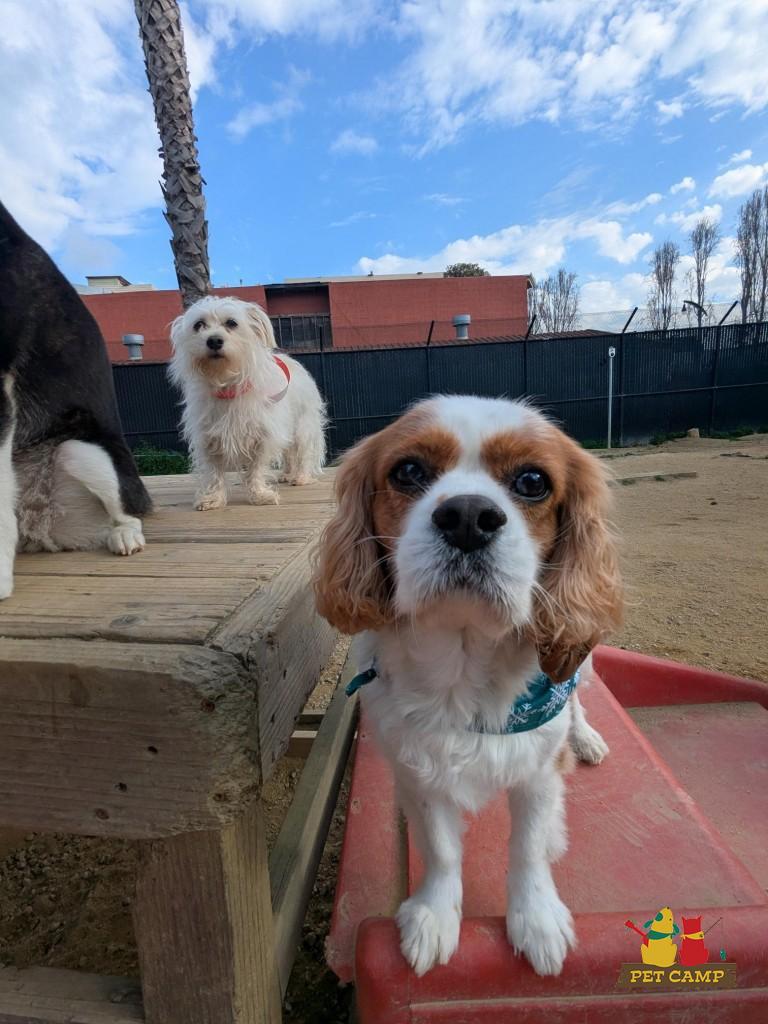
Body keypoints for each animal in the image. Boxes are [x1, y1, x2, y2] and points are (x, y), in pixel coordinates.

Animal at [169, 296, 326, 509]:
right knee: (288, 453)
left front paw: (260, 495)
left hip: (302, 427)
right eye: (198, 325)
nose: (214, 340)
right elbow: (214, 473)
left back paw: (301, 477)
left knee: (302, 453)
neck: (227, 385)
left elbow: (256, 469)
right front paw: (213, 498)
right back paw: (287, 474)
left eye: (232, 323)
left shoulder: (263, 436)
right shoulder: (208, 439)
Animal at [314, 395, 622, 977]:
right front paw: (436, 915)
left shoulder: (539, 773)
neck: (464, 663)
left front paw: (536, 918)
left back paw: (587, 737)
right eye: (408, 471)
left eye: (532, 481)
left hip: (582, 665)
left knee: (578, 699)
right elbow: (440, 849)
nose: (468, 518)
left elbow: (527, 847)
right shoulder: (419, 770)